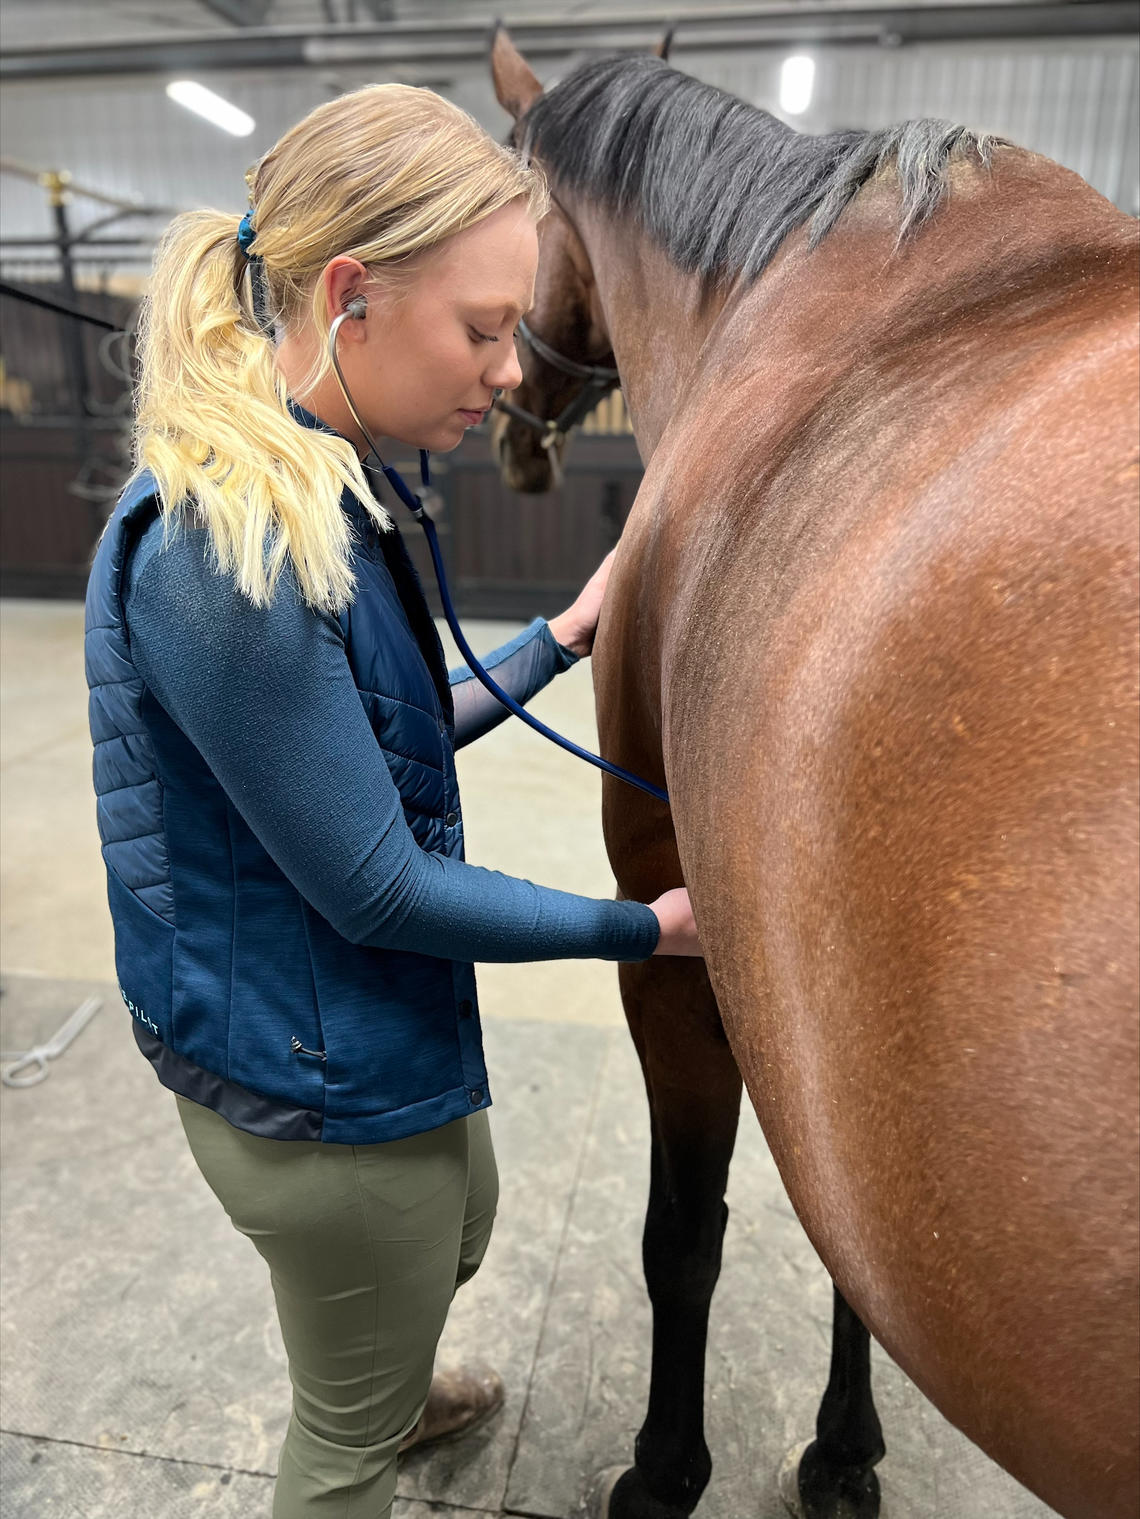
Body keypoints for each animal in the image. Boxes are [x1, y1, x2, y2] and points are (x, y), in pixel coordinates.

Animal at [489, 20, 1140, 1519]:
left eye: (517, 225)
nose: (509, 427)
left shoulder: (672, 936)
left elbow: (684, 1231)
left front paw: (665, 1466)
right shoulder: (831, 1040)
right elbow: (844, 1263)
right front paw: (845, 1442)